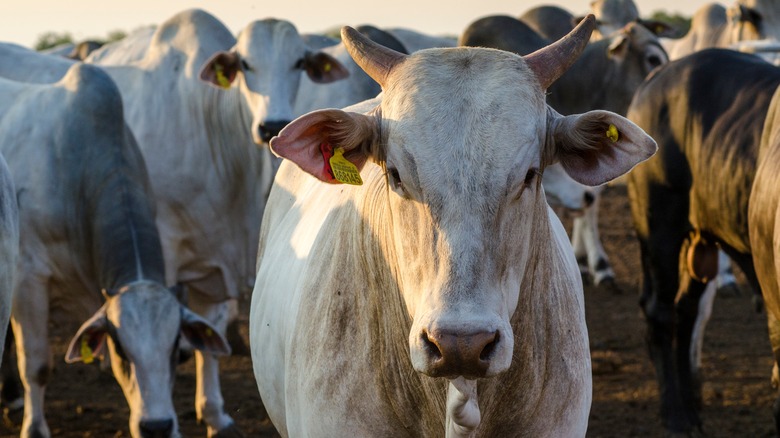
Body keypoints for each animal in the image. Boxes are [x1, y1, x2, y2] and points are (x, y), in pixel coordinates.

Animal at [0, 52, 229, 438]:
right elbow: (36, 364)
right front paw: (34, 427)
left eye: (177, 349)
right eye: (121, 346)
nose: (157, 427)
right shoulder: (28, 279)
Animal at [82, 9, 348, 434]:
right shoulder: (163, 249)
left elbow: (210, 334)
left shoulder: (215, 264)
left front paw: (214, 413)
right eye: (245, 65)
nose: (272, 125)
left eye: (299, 63)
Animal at [624, 49, 780, 432]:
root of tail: (658, 76)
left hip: (699, 246)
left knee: (686, 311)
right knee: (660, 312)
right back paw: (675, 414)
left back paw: (692, 408)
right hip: (659, 226)